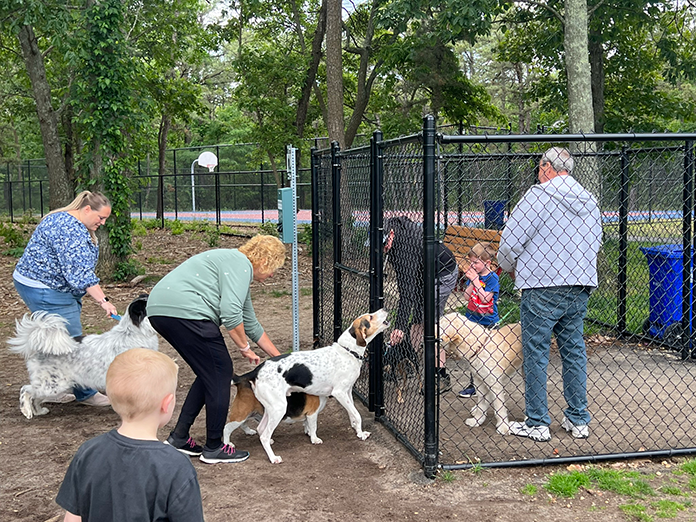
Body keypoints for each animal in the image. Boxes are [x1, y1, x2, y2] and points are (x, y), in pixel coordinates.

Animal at [8, 292, 158, 418]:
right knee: (26, 390)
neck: (135, 333)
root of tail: (40, 349)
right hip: (53, 386)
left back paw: (39, 411)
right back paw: (26, 411)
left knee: (35, 397)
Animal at [242, 306, 388, 462]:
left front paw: (357, 431)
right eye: (370, 317)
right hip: (279, 409)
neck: (347, 351)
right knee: (264, 435)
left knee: (260, 429)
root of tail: (257, 370)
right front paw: (361, 434)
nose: (384, 308)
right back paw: (273, 457)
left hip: (271, 409)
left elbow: (352, 414)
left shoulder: (348, 392)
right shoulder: (340, 393)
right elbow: (357, 414)